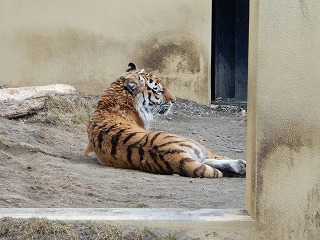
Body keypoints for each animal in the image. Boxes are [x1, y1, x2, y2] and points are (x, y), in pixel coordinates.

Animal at [84, 62, 246, 177]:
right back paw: (242, 164)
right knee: (211, 157)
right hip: (191, 142)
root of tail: (171, 154)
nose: (174, 100)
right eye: (159, 90)